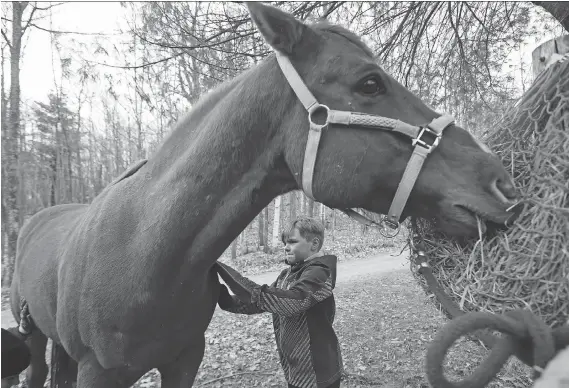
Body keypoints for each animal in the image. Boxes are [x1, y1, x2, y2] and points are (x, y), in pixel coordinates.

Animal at [10, 3, 520, 388]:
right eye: (370, 83)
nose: (503, 184)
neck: (144, 252)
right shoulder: (99, 372)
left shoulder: (184, 360)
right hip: (34, 341)